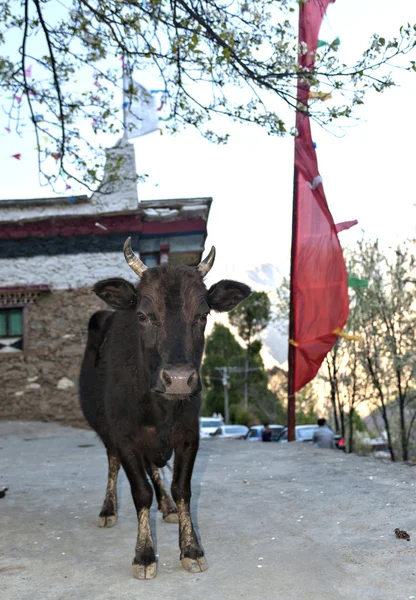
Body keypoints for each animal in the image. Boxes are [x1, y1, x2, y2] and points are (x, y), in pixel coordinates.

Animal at [79, 237, 252, 580]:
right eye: (144, 315)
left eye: (202, 315)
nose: (179, 380)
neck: (160, 408)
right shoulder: (125, 436)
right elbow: (140, 492)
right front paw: (145, 554)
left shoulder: (189, 433)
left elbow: (182, 488)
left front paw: (191, 548)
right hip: (106, 431)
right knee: (113, 464)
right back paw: (108, 509)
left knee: (155, 469)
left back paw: (168, 506)